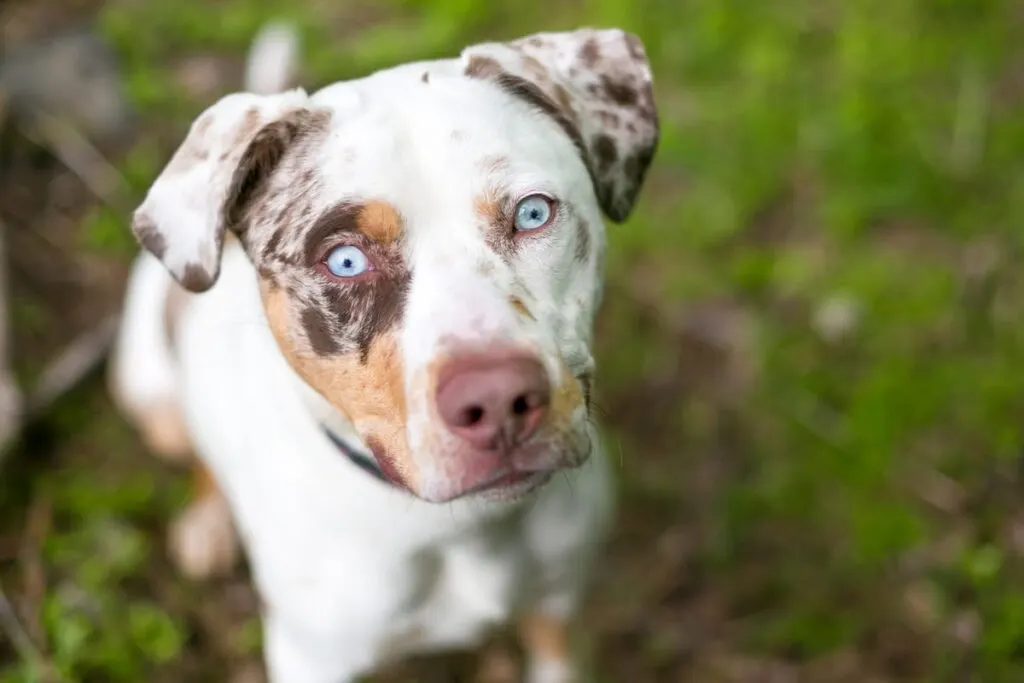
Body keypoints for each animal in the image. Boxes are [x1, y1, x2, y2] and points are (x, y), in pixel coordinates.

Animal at [108, 20, 659, 683]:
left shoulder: (560, 610)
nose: (498, 400)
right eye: (345, 260)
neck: (462, 533)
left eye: (532, 213)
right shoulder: (311, 658)